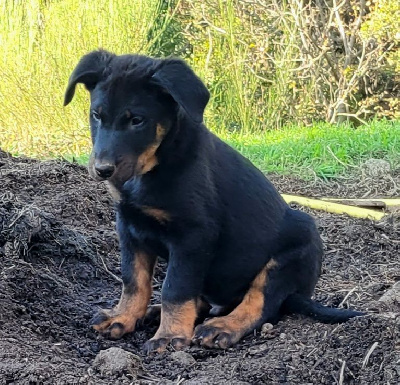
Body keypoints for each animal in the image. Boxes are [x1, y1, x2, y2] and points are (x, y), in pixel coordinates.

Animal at [64, 49, 364, 352]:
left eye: (137, 120)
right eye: (96, 115)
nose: (102, 170)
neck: (155, 166)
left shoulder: (193, 235)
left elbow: (176, 288)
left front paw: (169, 336)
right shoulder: (129, 228)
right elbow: (133, 280)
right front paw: (123, 317)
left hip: (293, 249)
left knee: (260, 303)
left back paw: (222, 327)